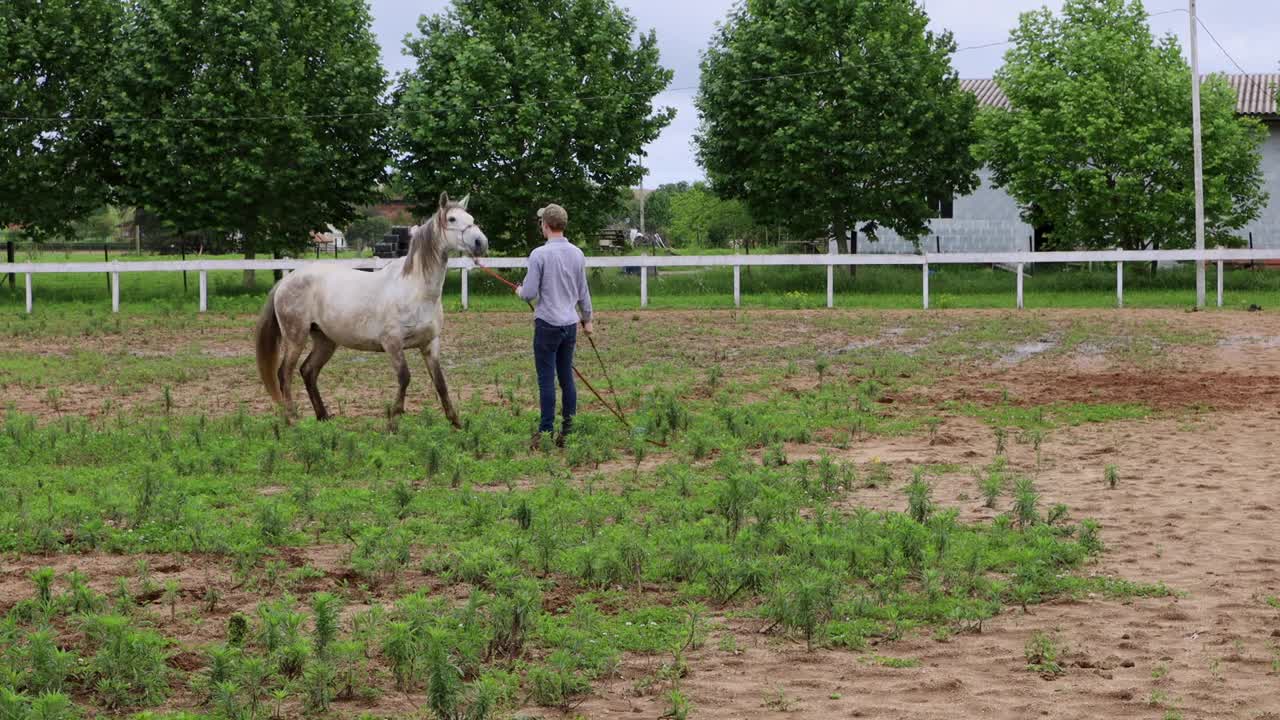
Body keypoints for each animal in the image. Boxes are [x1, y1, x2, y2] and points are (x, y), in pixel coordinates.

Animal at [252, 192, 486, 425]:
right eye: (452, 219)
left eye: (471, 217)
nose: (481, 242)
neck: (415, 290)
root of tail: (285, 281)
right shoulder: (392, 343)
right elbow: (404, 377)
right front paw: (393, 421)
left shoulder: (430, 344)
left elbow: (440, 382)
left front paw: (456, 423)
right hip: (295, 338)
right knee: (285, 373)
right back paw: (292, 419)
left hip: (325, 340)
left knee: (308, 371)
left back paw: (323, 417)